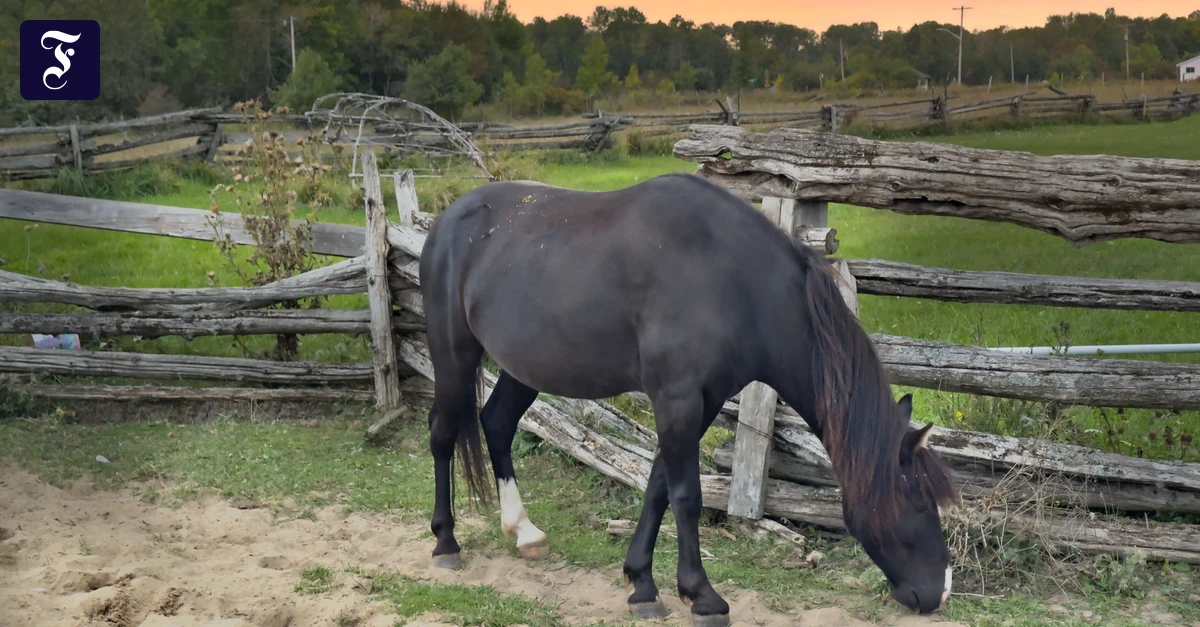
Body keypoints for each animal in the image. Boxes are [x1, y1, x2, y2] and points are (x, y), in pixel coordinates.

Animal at [418, 172, 959, 625]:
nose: (940, 593)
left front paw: (641, 584)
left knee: (496, 424)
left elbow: (659, 484)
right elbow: (687, 496)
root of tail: (447, 218)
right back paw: (446, 542)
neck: (731, 279)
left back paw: (524, 531)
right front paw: (702, 595)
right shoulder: (676, 398)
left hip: (524, 367)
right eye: (916, 499)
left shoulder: (703, 401)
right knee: (442, 434)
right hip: (452, 352)